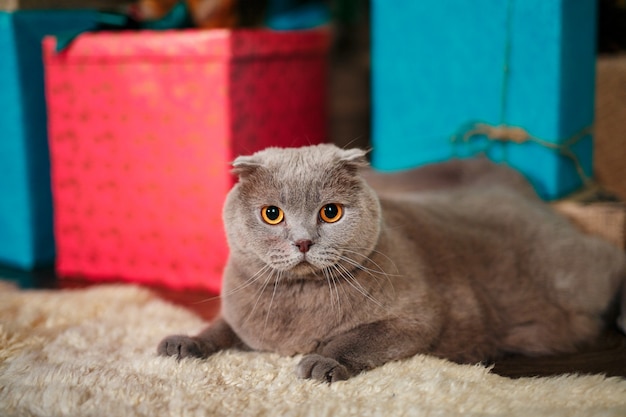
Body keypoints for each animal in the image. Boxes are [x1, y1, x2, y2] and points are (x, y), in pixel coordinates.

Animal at [157, 145, 624, 382]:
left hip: (573, 273)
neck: (298, 302)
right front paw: (184, 344)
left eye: (330, 212)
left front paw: (322, 361)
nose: (304, 241)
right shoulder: (240, 315)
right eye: (272, 214)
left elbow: (356, 338)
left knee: (609, 257)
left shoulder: (414, 318)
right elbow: (219, 329)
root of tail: (510, 188)